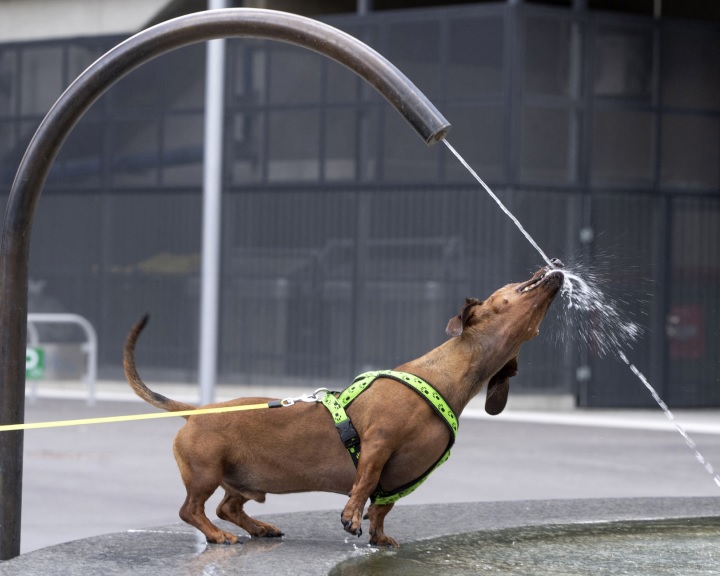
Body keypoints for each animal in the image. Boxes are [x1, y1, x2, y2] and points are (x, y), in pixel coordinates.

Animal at [124, 264, 564, 548]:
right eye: (513, 286)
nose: (556, 266)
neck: (441, 380)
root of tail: (196, 411)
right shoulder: (379, 443)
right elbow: (365, 481)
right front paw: (352, 516)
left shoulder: (402, 479)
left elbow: (383, 506)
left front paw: (379, 535)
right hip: (205, 472)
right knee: (192, 510)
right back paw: (219, 536)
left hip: (247, 480)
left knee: (227, 507)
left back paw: (259, 527)